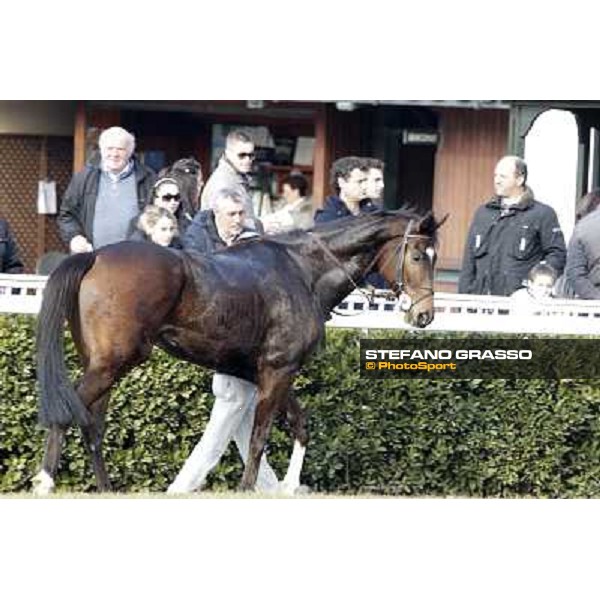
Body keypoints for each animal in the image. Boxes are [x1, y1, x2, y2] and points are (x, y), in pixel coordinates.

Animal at [32, 210, 446, 492]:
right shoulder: (279, 370)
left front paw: (288, 487)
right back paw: (45, 481)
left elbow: (300, 424)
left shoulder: (267, 372)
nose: (424, 315)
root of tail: (95, 256)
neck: (304, 272)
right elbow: (260, 437)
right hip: (113, 363)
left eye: (435, 256)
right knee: (67, 411)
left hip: (104, 365)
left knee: (92, 426)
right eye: (417, 256)